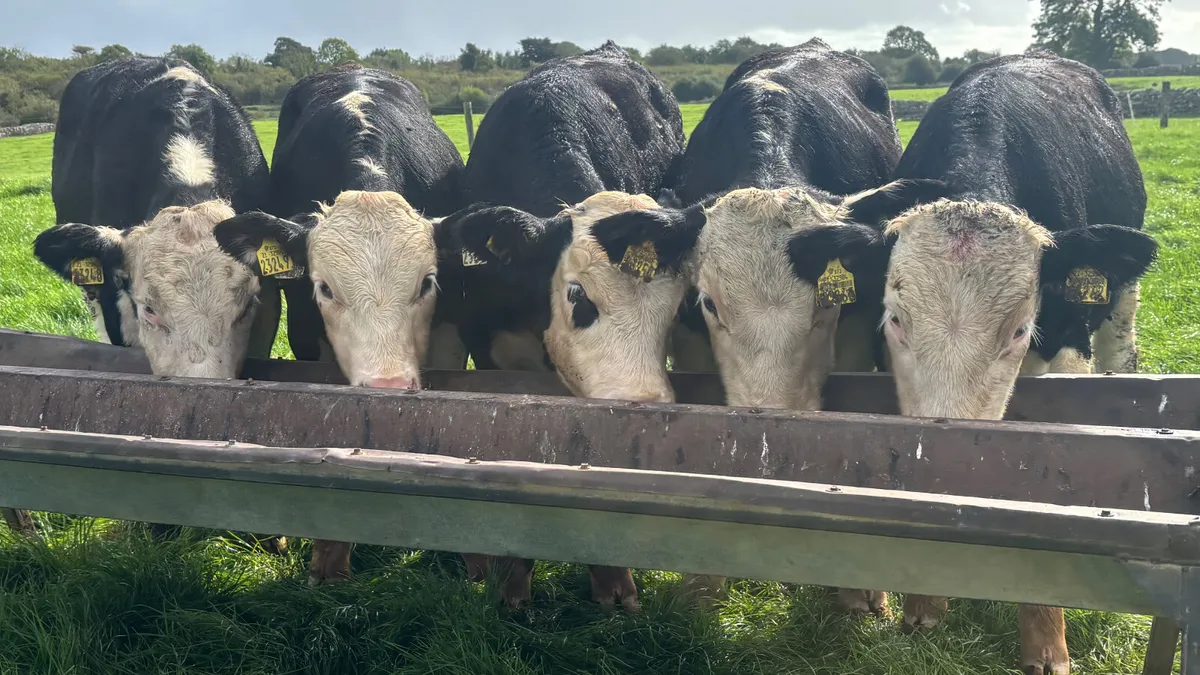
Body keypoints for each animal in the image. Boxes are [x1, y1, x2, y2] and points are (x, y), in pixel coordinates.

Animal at [849, 52, 1157, 675]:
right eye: (895, 320)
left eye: (1019, 330)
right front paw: (923, 602)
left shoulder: (1066, 351)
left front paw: (1045, 643)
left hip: (1121, 302)